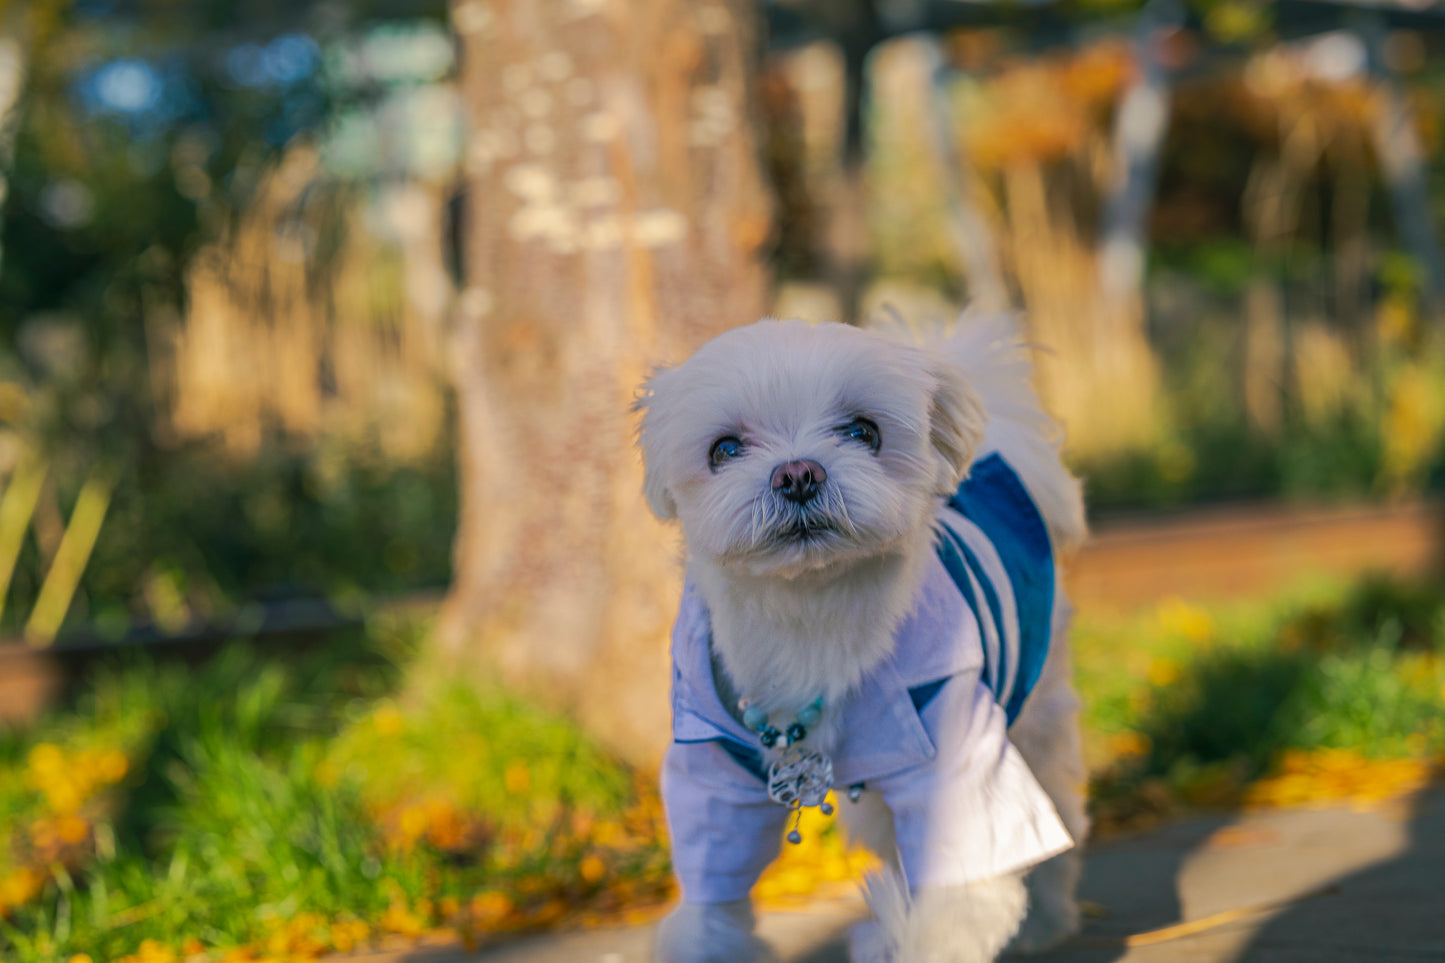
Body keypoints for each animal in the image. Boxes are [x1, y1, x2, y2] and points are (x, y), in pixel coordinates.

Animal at [638, 315, 1086, 960]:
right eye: (724, 449)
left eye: (863, 431)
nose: (797, 473)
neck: (808, 617)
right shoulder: (712, 770)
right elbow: (711, 888)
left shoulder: (953, 750)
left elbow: (963, 886)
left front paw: (917, 939)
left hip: (1034, 715)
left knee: (1054, 811)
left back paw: (1046, 923)